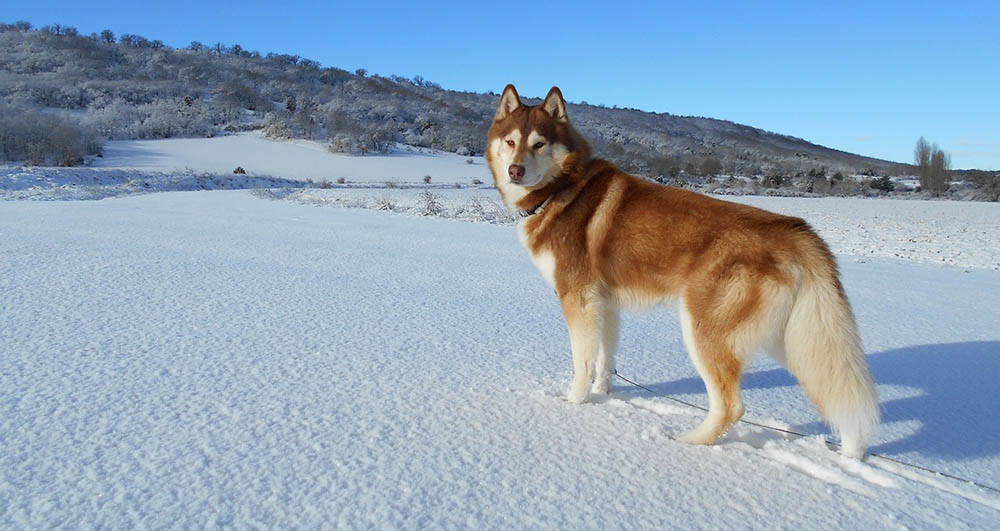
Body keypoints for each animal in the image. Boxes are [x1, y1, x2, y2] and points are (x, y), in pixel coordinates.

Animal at [488, 84, 880, 458]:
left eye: (539, 143)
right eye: (511, 141)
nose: (515, 170)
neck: (562, 188)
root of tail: (794, 230)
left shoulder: (577, 300)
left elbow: (582, 363)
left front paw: (573, 405)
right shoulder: (605, 304)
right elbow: (604, 358)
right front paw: (604, 394)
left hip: (704, 331)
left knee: (731, 406)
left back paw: (688, 443)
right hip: (794, 339)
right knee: (836, 388)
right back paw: (853, 452)